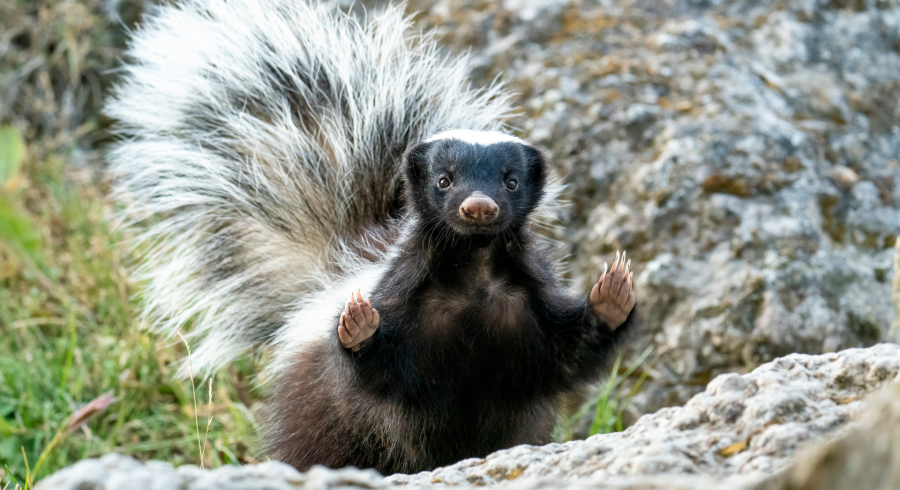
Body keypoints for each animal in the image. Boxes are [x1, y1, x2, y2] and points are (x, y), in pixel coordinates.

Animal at [107, 0, 640, 474]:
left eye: (509, 182)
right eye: (444, 180)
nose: (478, 207)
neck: (473, 274)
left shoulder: (527, 317)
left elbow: (571, 351)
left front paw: (612, 296)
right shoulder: (406, 305)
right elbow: (378, 368)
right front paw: (359, 324)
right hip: (317, 413)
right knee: (317, 452)